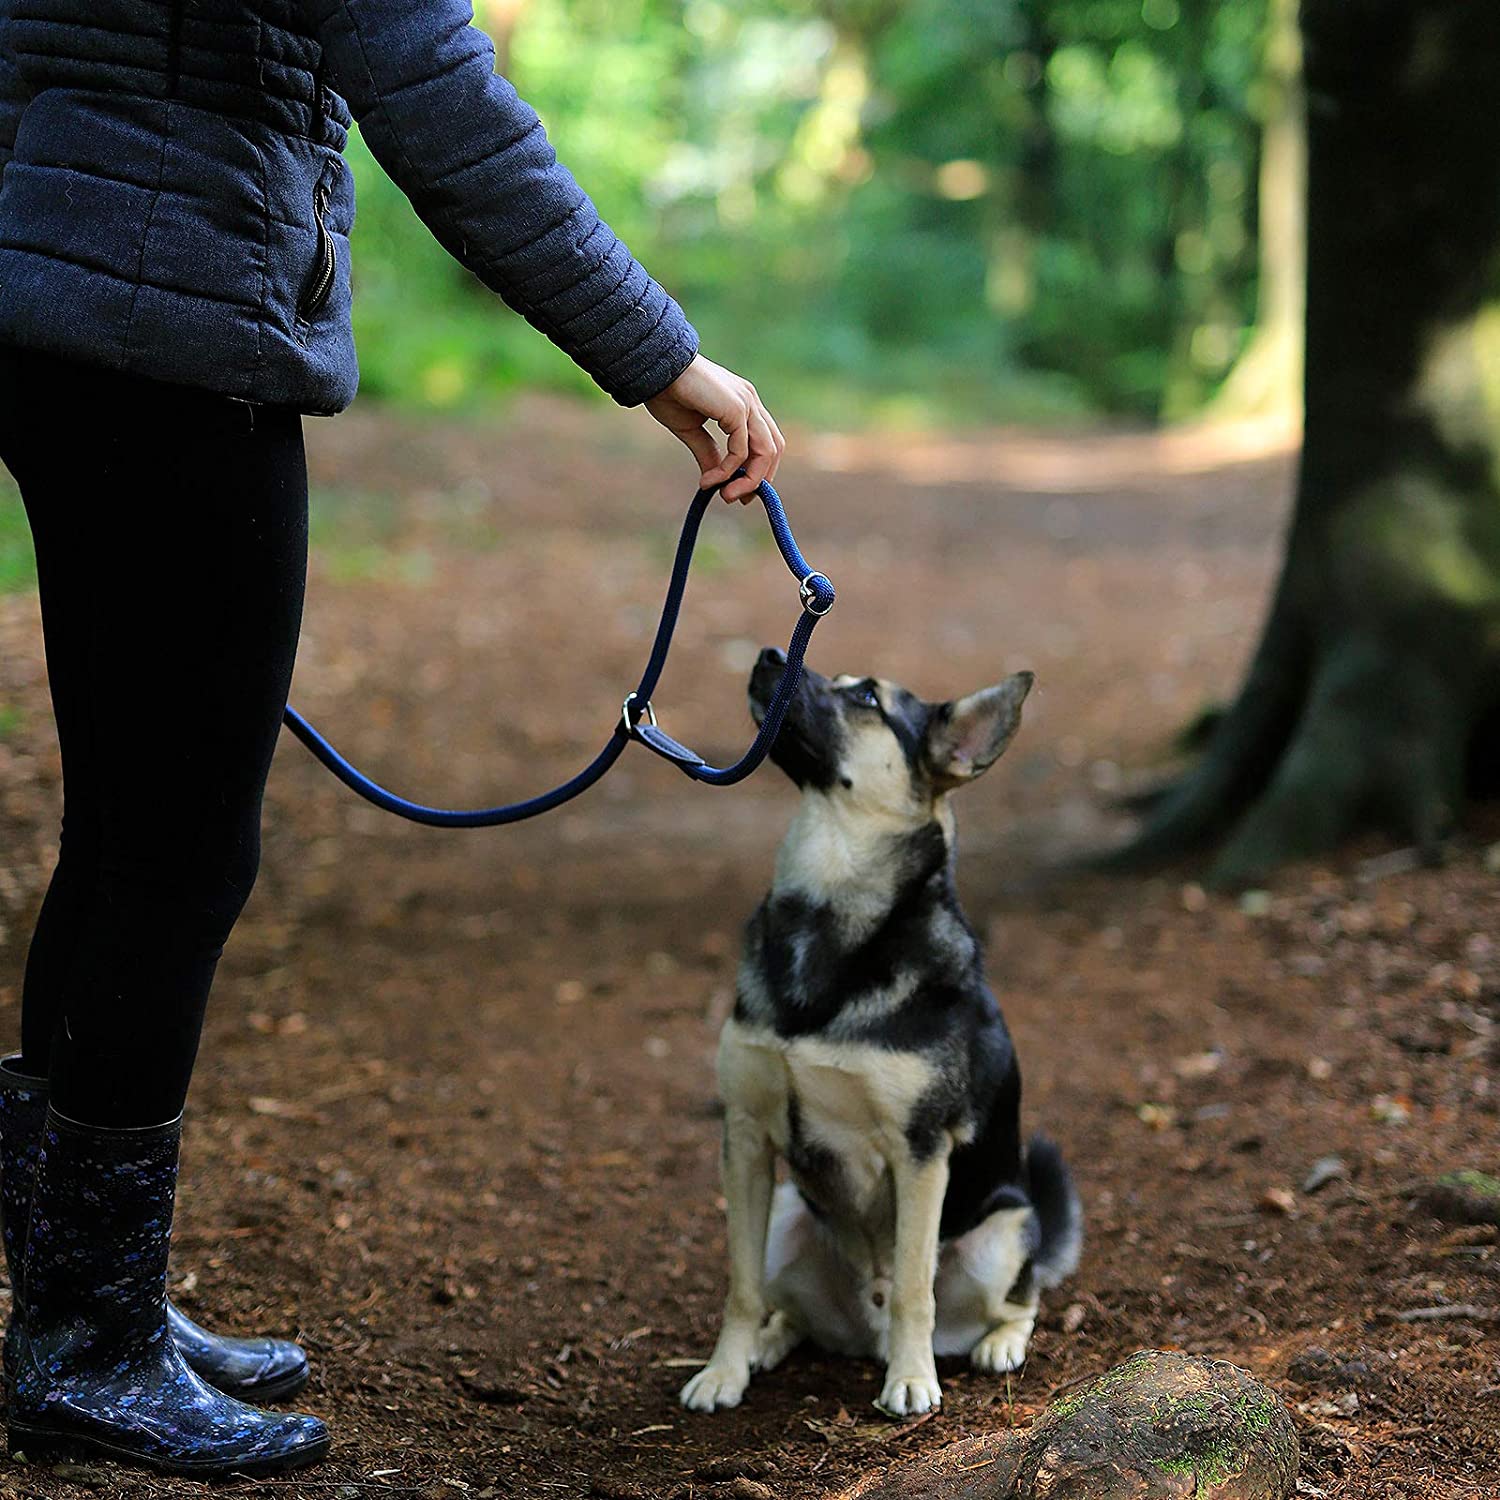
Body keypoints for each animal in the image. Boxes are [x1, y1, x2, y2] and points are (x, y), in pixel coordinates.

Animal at [681, 651, 1080, 1410]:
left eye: (867, 697)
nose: (770, 656)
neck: (829, 905)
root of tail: (859, 1333)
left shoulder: (920, 1151)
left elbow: (914, 1288)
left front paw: (912, 1379)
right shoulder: (744, 1136)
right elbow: (739, 1288)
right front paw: (724, 1371)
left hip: (1004, 1230)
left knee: (1023, 1296)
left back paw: (995, 1344)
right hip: (787, 1212)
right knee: (792, 1312)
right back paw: (773, 1345)